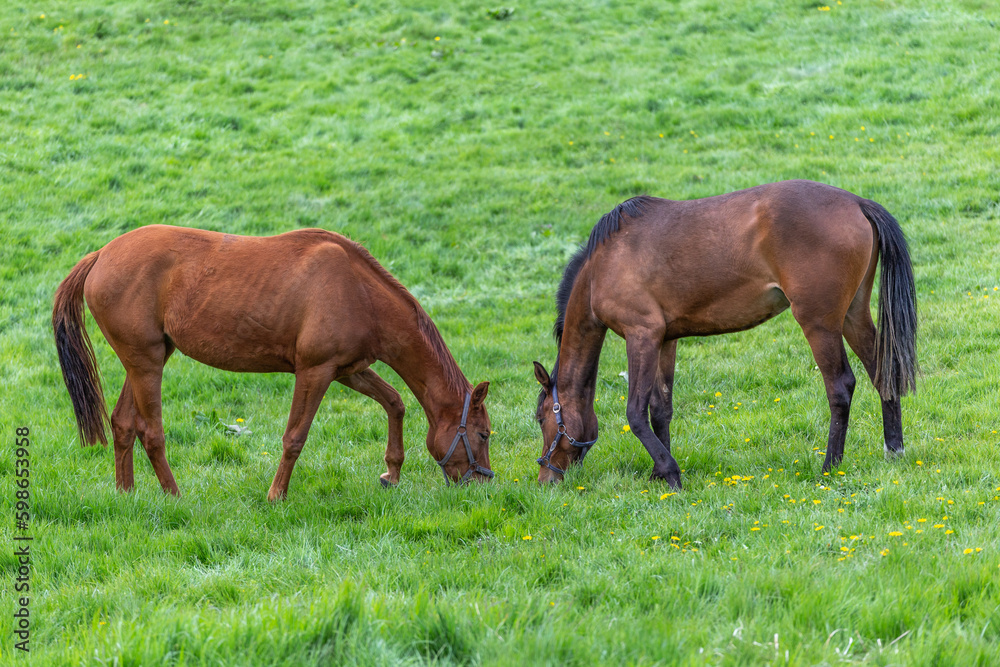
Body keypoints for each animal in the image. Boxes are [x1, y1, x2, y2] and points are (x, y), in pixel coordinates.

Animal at [53, 227, 492, 498]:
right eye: (484, 435)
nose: (484, 483)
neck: (359, 291)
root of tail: (102, 255)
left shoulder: (348, 371)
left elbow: (395, 402)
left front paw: (391, 472)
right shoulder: (315, 372)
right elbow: (295, 436)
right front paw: (276, 494)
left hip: (146, 360)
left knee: (124, 424)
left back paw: (126, 493)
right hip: (146, 364)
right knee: (152, 433)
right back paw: (174, 494)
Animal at [536, 180, 916, 488]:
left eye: (541, 419)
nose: (545, 477)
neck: (602, 267)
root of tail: (856, 202)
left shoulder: (641, 335)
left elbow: (635, 413)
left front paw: (670, 472)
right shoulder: (665, 340)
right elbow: (661, 409)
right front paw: (660, 472)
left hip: (819, 323)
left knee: (840, 387)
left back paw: (829, 467)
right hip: (853, 315)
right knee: (882, 373)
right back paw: (894, 450)